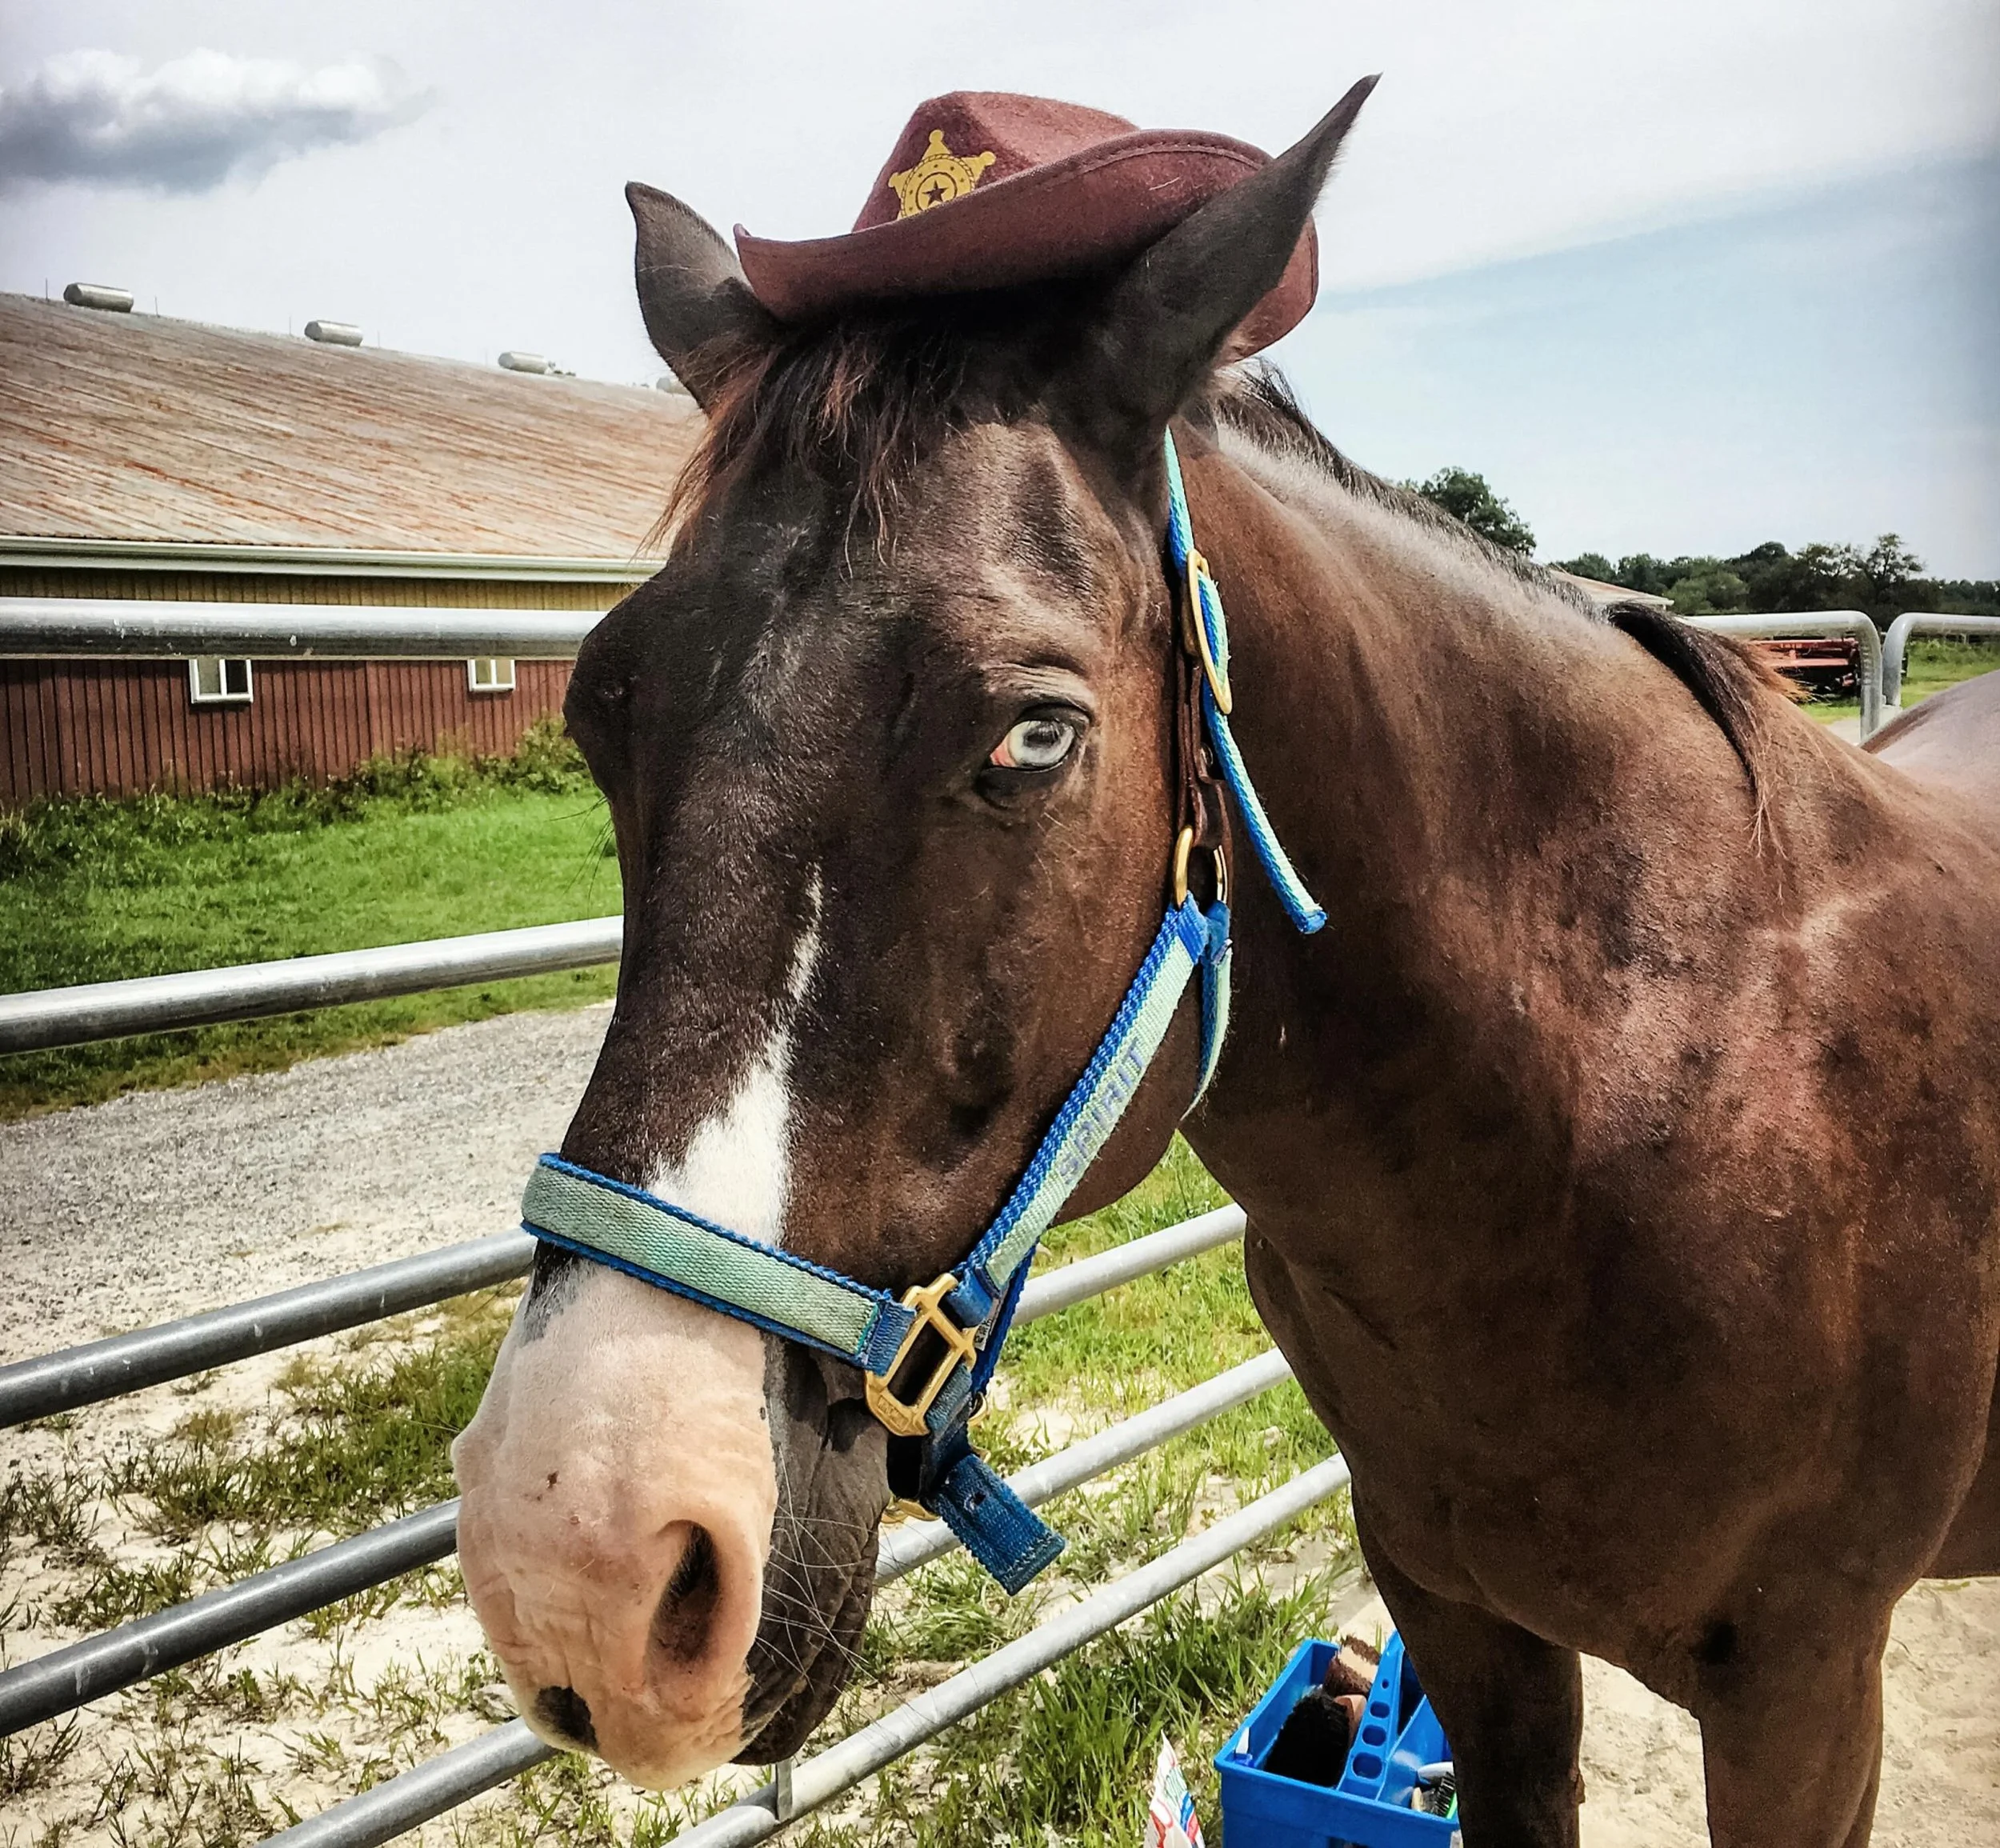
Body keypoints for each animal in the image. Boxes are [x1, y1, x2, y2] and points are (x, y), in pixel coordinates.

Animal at [450, 92, 2000, 1845]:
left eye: (1033, 736)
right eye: (602, 705)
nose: (580, 1562)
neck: (1662, 1092)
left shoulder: (1807, 1701)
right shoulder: (1466, 1626)